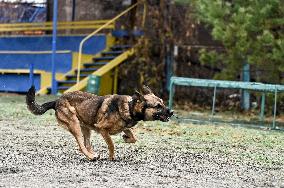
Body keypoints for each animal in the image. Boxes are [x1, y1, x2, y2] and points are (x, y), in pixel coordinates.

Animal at [26, 85, 173, 160]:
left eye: (163, 103)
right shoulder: (103, 129)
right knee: (82, 146)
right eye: (158, 106)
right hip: (75, 125)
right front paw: (112, 157)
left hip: (85, 128)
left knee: (87, 144)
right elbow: (111, 144)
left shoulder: (124, 127)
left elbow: (133, 137)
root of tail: (57, 101)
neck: (130, 107)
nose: (172, 112)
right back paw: (91, 156)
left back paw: (94, 155)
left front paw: (126, 138)